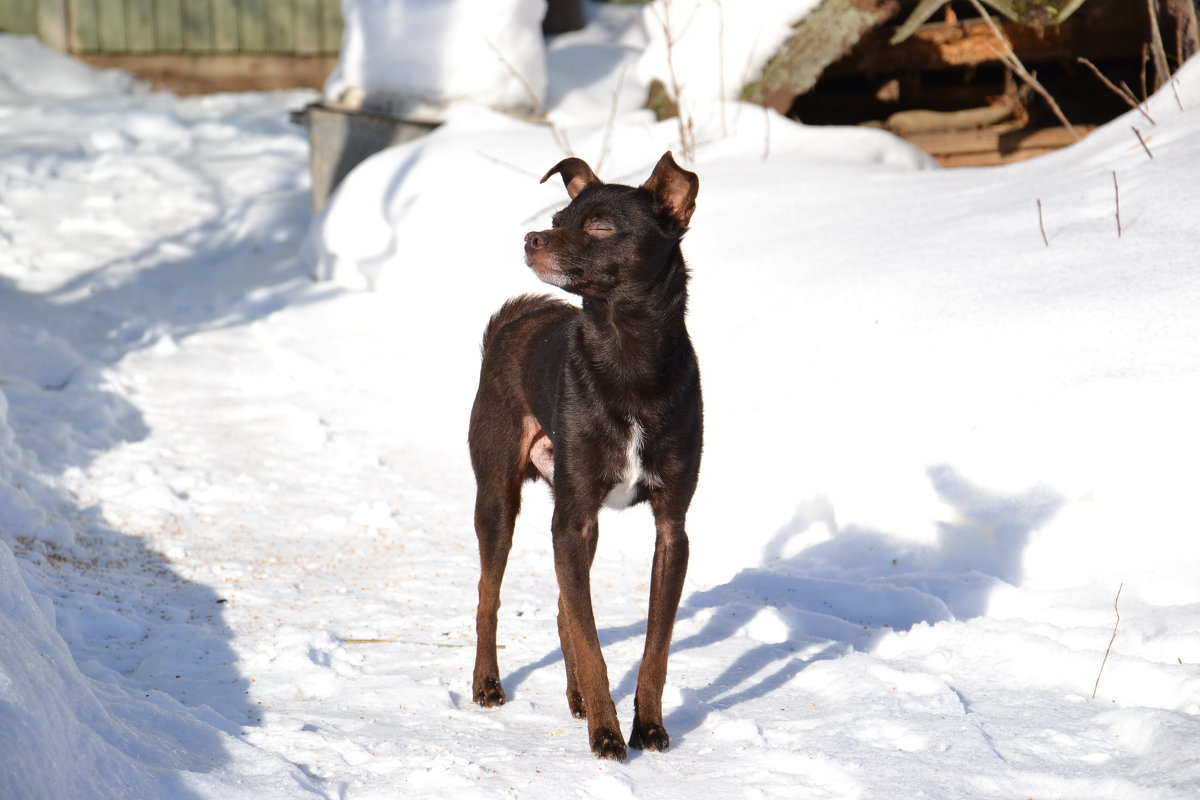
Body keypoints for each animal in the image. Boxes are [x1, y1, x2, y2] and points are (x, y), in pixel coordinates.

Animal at [463, 151, 700, 762]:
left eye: (598, 226)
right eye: (558, 217)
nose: (531, 238)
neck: (626, 357)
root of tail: (512, 322)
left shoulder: (671, 528)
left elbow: (654, 646)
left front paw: (648, 727)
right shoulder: (572, 521)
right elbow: (593, 645)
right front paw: (607, 734)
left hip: (569, 517)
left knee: (563, 610)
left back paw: (574, 697)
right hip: (499, 499)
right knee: (489, 596)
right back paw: (488, 684)